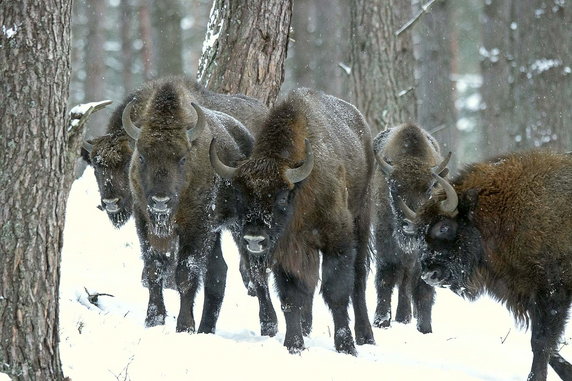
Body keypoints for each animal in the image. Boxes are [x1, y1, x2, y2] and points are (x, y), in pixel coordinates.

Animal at [126, 80, 254, 332]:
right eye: (142, 157)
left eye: (182, 158)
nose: (160, 201)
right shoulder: (143, 221)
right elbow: (154, 267)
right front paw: (153, 319)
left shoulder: (196, 227)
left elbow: (186, 273)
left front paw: (185, 326)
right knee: (219, 272)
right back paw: (207, 328)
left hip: (240, 225)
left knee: (254, 269)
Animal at [210, 87, 376, 352]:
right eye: (240, 195)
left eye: (281, 196)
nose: (254, 239)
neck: (301, 188)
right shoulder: (286, 252)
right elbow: (291, 297)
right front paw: (294, 344)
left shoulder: (337, 241)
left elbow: (337, 294)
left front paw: (346, 346)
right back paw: (307, 328)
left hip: (362, 220)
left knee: (359, 280)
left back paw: (365, 336)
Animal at [374, 123, 450, 332]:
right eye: (393, 188)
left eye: (430, 188)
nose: (410, 225)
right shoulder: (384, 241)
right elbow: (386, 277)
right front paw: (381, 321)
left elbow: (421, 285)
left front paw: (425, 327)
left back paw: (406, 316)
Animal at [402, 150, 572, 380]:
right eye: (419, 236)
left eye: (444, 227)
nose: (430, 274)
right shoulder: (528, 295)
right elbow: (549, 346)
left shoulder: (551, 294)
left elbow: (541, 341)